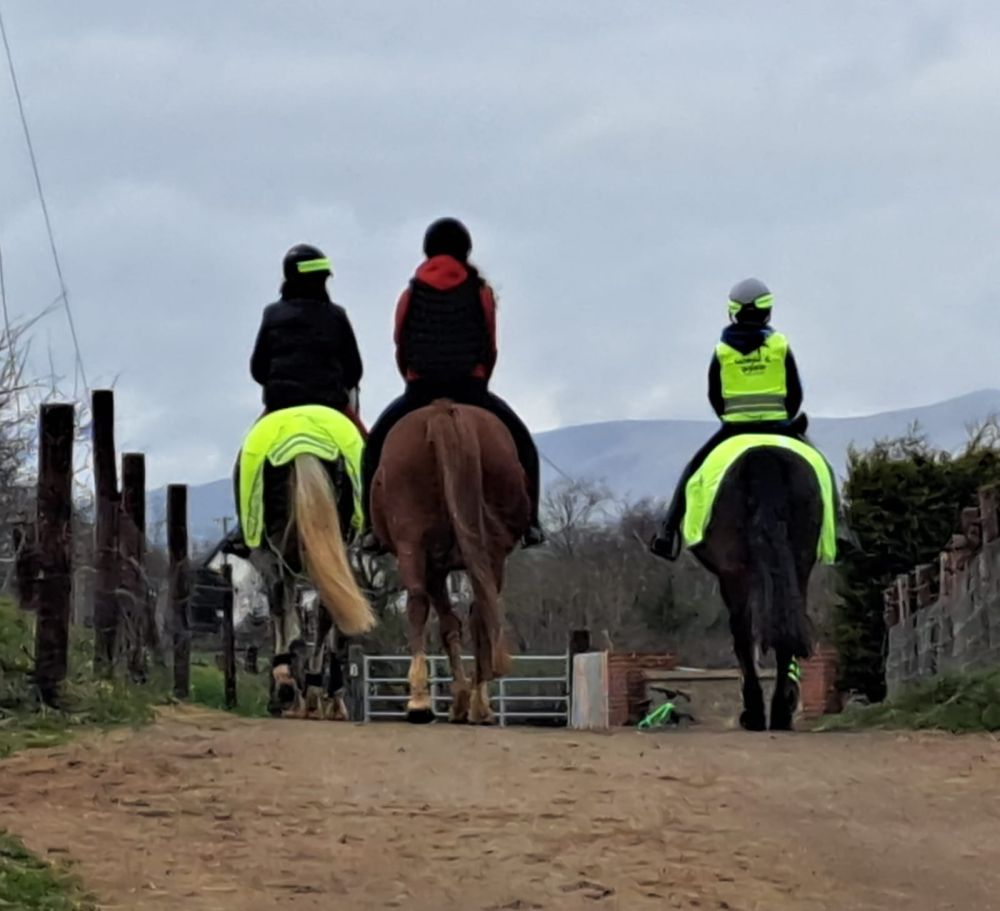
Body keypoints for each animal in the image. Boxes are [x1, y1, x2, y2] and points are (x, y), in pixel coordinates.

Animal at [372, 402, 532, 724]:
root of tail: (443, 411)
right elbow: (453, 623)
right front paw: (462, 699)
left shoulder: (432, 567)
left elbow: (444, 622)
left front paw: (456, 697)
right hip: (492, 552)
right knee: (481, 611)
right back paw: (479, 704)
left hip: (412, 544)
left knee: (417, 605)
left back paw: (420, 701)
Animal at [692, 446, 824, 732]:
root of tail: (765, 457)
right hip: (799, 566)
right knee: (785, 636)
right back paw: (780, 714)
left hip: (735, 576)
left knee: (742, 633)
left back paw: (755, 713)